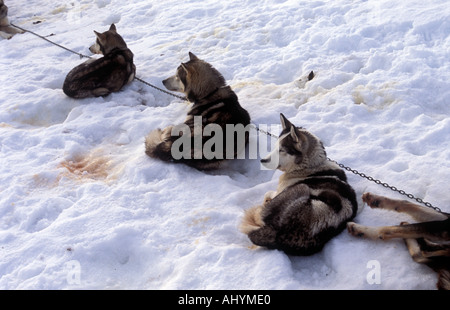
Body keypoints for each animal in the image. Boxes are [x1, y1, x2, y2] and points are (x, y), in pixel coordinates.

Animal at [241, 114, 356, 254]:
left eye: (282, 150)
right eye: (275, 147)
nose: (262, 160)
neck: (311, 166)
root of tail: (280, 234)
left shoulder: (281, 190)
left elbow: (268, 194)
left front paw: (266, 200)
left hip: (301, 187)